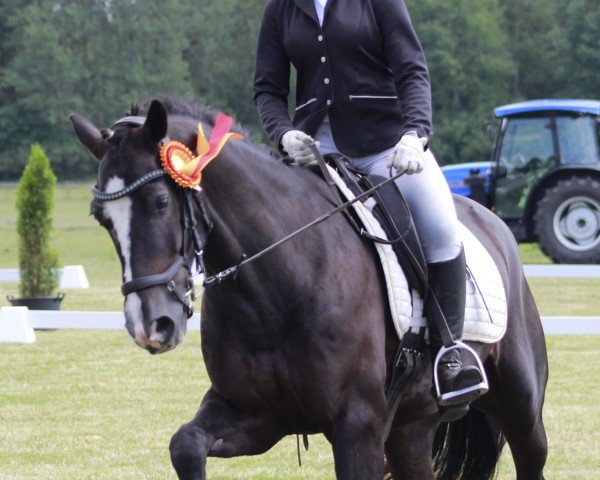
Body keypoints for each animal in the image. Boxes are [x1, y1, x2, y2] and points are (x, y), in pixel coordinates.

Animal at [69, 99, 548, 478]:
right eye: (100, 218)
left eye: (160, 203)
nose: (151, 325)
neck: (276, 287)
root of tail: (492, 223)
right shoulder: (258, 414)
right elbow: (185, 444)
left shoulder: (358, 428)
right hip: (411, 430)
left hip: (521, 408)